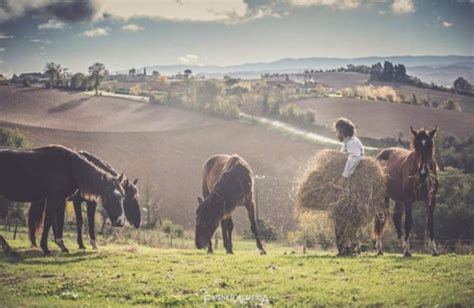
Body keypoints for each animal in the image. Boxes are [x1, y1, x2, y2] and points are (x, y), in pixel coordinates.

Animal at [374, 126, 440, 256]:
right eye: (415, 146)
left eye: (430, 146)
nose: (423, 173)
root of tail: (380, 155)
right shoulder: (408, 200)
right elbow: (409, 222)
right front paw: (407, 251)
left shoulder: (431, 200)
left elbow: (430, 223)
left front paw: (434, 250)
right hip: (382, 197)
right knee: (380, 218)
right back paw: (380, 249)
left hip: (398, 199)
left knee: (396, 218)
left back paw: (401, 244)